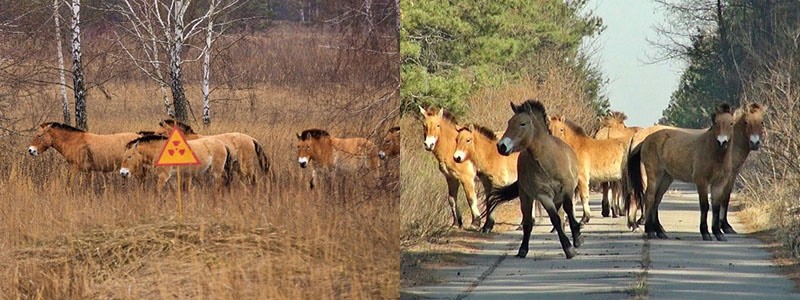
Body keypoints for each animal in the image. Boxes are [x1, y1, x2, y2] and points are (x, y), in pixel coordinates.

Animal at [488, 99, 580, 258]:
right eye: (509, 122)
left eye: (522, 123)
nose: (501, 146)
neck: (549, 162)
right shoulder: (543, 196)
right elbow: (555, 219)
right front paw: (568, 248)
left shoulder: (567, 190)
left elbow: (569, 211)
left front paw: (576, 240)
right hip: (526, 197)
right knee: (528, 222)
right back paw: (523, 249)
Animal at [624, 104, 736, 240]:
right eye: (716, 123)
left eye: (731, 123)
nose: (722, 142)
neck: (714, 153)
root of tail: (645, 140)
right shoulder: (702, 182)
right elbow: (704, 206)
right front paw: (705, 233)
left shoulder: (719, 183)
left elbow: (716, 207)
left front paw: (718, 233)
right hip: (654, 175)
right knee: (649, 198)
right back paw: (649, 231)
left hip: (666, 178)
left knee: (656, 200)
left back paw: (660, 232)